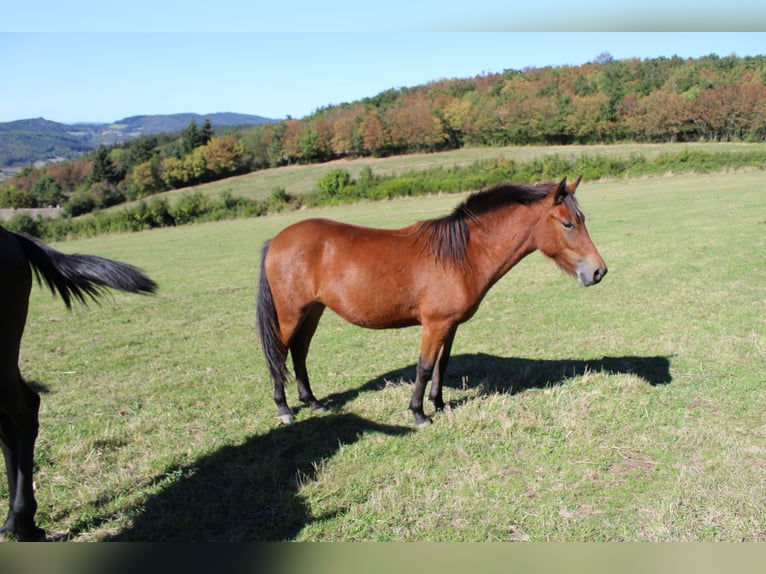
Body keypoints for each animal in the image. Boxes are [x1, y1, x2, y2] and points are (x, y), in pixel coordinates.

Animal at [258, 178, 608, 430]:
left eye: (582, 219)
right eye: (568, 224)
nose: (598, 271)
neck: (462, 255)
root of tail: (276, 240)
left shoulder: (450, 325)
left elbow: (442, 363)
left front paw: (438, 403)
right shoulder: (434, 323)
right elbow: (424, 366)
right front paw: (419, 413)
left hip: (313, 310)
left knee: (299, 352)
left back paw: (313, 402)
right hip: (291, 313)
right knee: (279, 353)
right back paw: (284, 408)